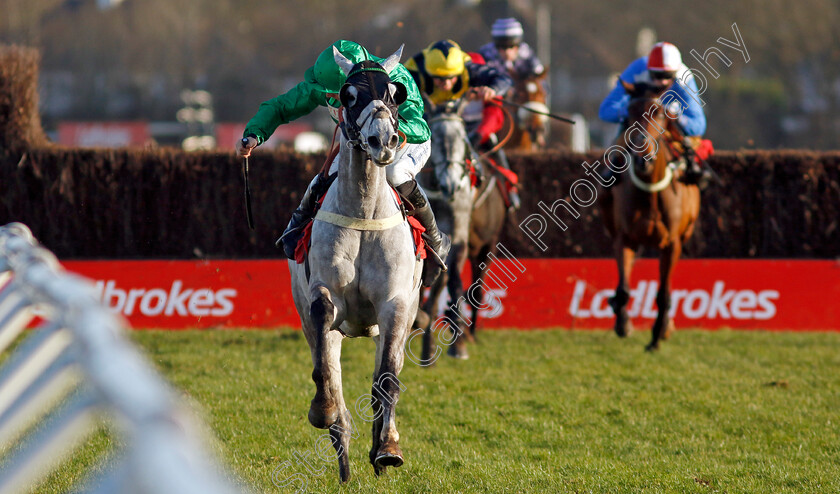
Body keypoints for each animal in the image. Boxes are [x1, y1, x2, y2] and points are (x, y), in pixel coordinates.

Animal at [288, 45, 424, 482]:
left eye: (395, 93)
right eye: (348, 95)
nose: (383, 139)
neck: (364, 213)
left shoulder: (396, 304)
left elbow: (388, 380)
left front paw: (386, 450)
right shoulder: (323, 296)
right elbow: (325, 367)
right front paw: (325, 410)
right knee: (330, 372)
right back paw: (343, 456)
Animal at [600, 81, 700, 352]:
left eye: (660, 114)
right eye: (629, 112)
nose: (643, 158)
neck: (650, 193)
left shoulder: (672, 243)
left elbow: (663, 293)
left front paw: (656, 337)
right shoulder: (624, 238)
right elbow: (624, 287)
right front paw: (623, 324)